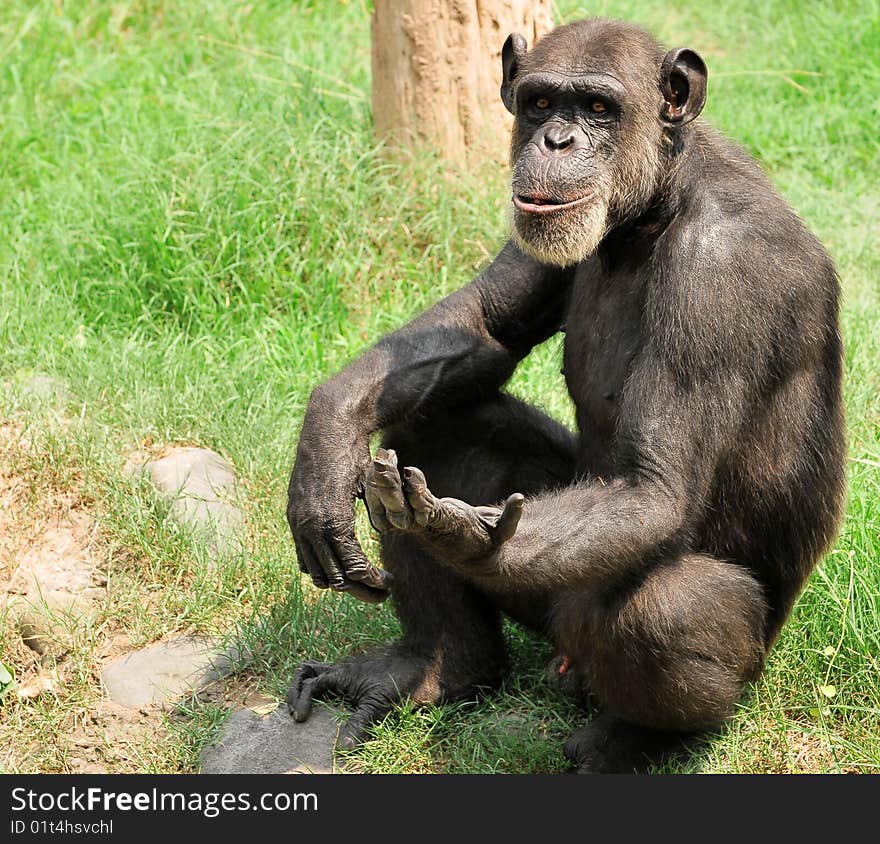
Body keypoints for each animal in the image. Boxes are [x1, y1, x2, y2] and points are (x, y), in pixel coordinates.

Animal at [286, 18, 844, 772]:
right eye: (541, 103)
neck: (651, 211)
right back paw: (437, 666)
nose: (555, 141)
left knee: (662, 610)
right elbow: (483, 324)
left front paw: (457, 533)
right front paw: (328, 435)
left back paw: (636, 738)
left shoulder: (722, 274)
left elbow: (652, 488)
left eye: (600, 109)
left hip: (734, 665)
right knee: (430, 429)